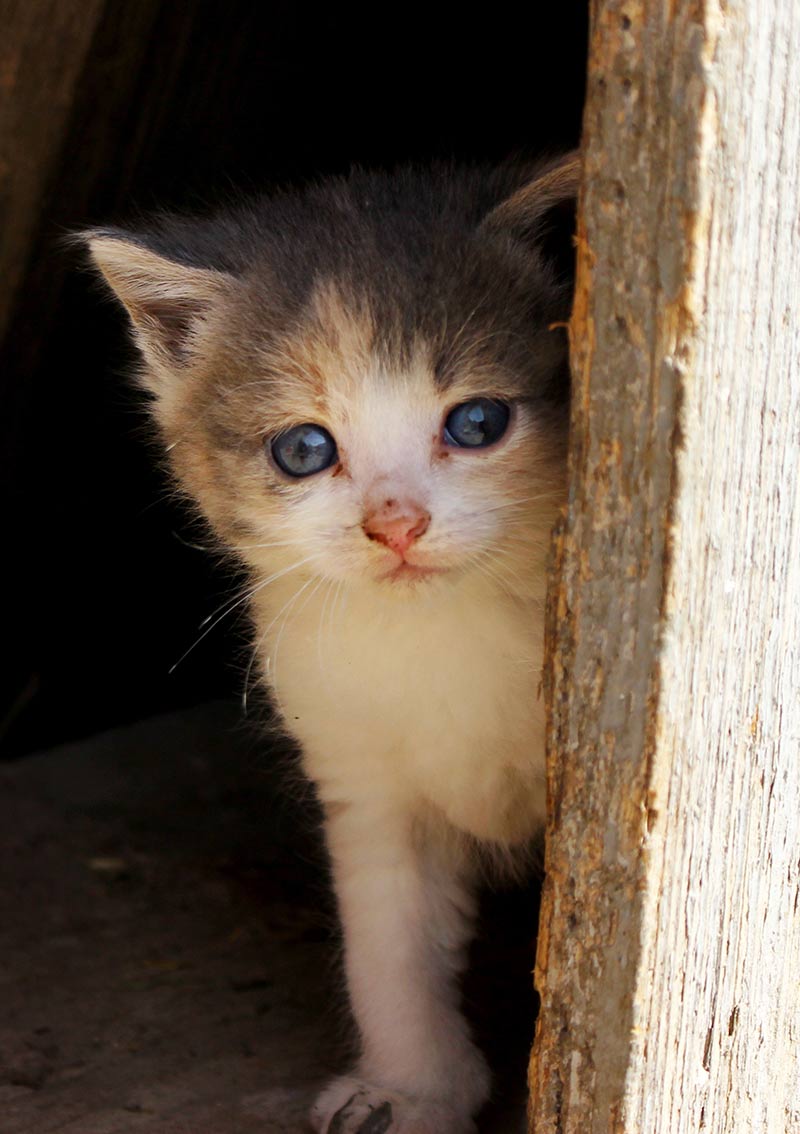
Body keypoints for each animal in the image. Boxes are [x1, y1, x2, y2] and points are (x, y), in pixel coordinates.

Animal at [81, 153, 574, 1134]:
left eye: (476, 425)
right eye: (305, 449)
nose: (396, 523)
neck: (439, 633)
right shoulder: (363, 780)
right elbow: (390, 946)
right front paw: (412, 1088)